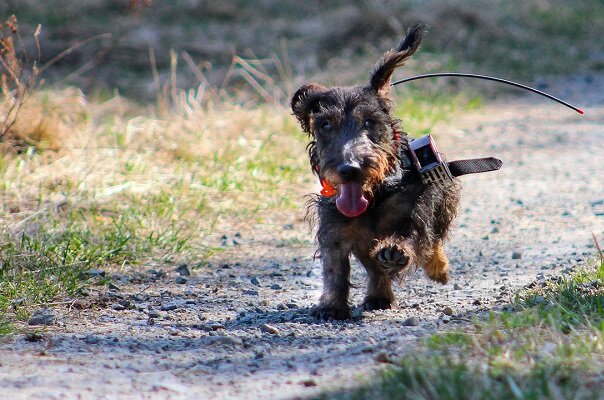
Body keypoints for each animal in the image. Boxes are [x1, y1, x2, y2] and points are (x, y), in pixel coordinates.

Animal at [290, 23, 460, 320]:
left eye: (370, 121)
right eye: (325, 125)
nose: (349, 169)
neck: (374, 197)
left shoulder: (416, 208)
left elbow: (414, 236)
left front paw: (395, 251)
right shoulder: (334, 228)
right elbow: (335, 269)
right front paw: (331, 305)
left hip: (443, 198)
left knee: (435, 240)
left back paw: (437, 268)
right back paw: (379, 295)